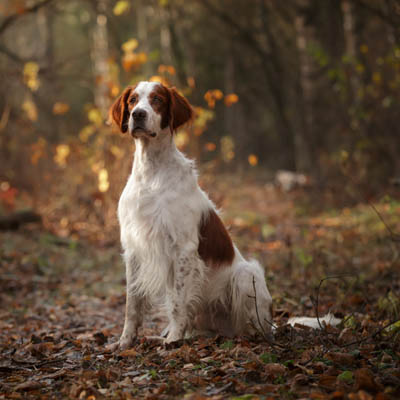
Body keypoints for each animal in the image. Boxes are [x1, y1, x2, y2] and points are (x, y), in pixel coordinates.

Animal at [108, 80, 272, 346]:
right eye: (132, 100)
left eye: (157, 100)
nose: (138, 115)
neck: (152, 171)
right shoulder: (133, 248)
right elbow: (132, 304)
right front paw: (125, 341)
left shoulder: (183, 248)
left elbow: (178, 302)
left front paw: (174, 339)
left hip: (247, 274)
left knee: (255, 325)